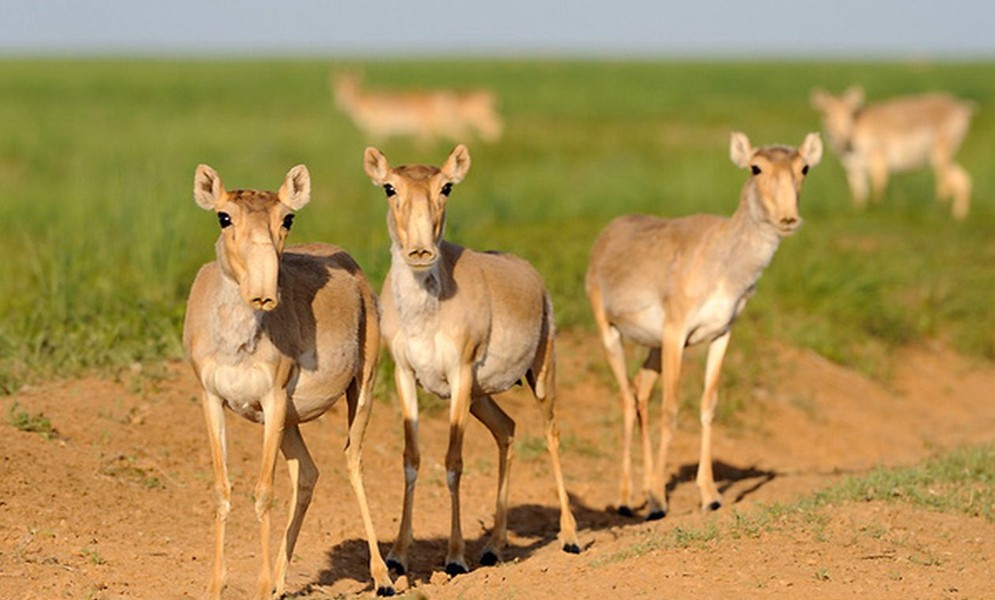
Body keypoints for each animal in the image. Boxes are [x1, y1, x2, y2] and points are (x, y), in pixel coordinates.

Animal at [185, 165, 394, 600]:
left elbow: (264, 492)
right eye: (223, 216)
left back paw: (382, 577)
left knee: (353, 462)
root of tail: (351, 265)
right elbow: (222, 489)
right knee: (309, 473)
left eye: (288, 218)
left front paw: (263, 585)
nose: (263, 293)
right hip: (288, 423)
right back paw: (283, 579)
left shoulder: (274, 397)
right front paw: (216, 585)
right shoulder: (212, 399)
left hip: (360, 389)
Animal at [364, 143, 584, 576]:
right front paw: (397, 555)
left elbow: (453, 462)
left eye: (446, 186)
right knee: (508, 429)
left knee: (551, 433)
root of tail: (530, 274)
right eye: (389, 187)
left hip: (540, 374)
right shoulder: (405, 375)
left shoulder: (460, 374)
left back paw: (569, 537)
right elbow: (411, 458)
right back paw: (494, 547)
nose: (420, 251)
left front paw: (454, 558)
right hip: (481, 397)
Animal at [588, 131, 820, 520]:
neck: (724, 261)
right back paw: (626, 499)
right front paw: (657, 501)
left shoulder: (721, 334)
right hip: (610, 333)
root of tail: (607, 234)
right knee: (626, 398)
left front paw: (710, 495)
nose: (788, 218)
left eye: (804, 167)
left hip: (653, 348)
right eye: (756, 167)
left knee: (640, 391)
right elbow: (671, 409)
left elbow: (708, 406)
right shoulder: (675, 332)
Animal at [808, 86, 972, 220]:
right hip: (938, 158)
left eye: (850, 114)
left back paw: (936, 211)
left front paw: (876, 210)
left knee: (946, 182)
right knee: (963, 180)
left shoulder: (878, 159)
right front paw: (859, 212)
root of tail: (961, 107)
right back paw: (958, 217)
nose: (845, 142)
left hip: (940, 154)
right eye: (826, 114)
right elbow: (859, 193)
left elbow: (878, 187)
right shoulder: (853, 168)